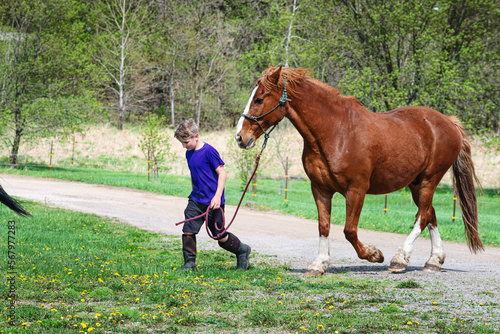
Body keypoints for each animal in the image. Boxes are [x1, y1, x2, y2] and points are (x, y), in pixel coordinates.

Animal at [236, 65, 482, 274]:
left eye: (259, 99)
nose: (240, 137)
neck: (336, 132)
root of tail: (449, 122)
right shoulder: (320, 189)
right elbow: (323, 226)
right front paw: (319, 264)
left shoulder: (356, 190)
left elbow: (349, 230)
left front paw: (374, 254)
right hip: (416, 183)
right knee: (430, 215)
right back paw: (434, 261)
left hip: (430, 179)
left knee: (422, 217)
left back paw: (399, 259)